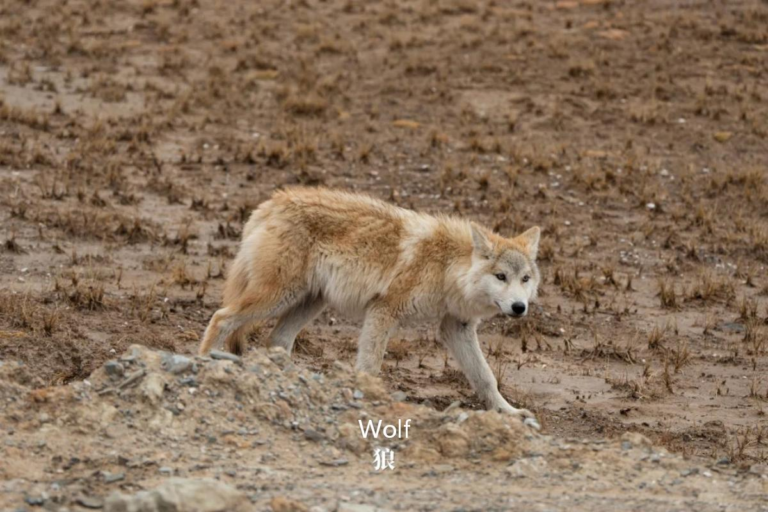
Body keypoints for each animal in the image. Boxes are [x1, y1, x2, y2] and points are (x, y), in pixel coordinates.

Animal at [199, 187, 542, 428]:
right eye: (501, 276)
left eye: (524, 279)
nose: (518, 307)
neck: (446, 266)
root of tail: (269, 203)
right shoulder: (384, 310)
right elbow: (370, 365)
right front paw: (368, 396)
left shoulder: (456, 327)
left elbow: (485, 377)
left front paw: (508, 412)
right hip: (277, 297)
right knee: (220, 317)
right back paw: (202, 361)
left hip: (309, 302)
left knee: (277, 340)